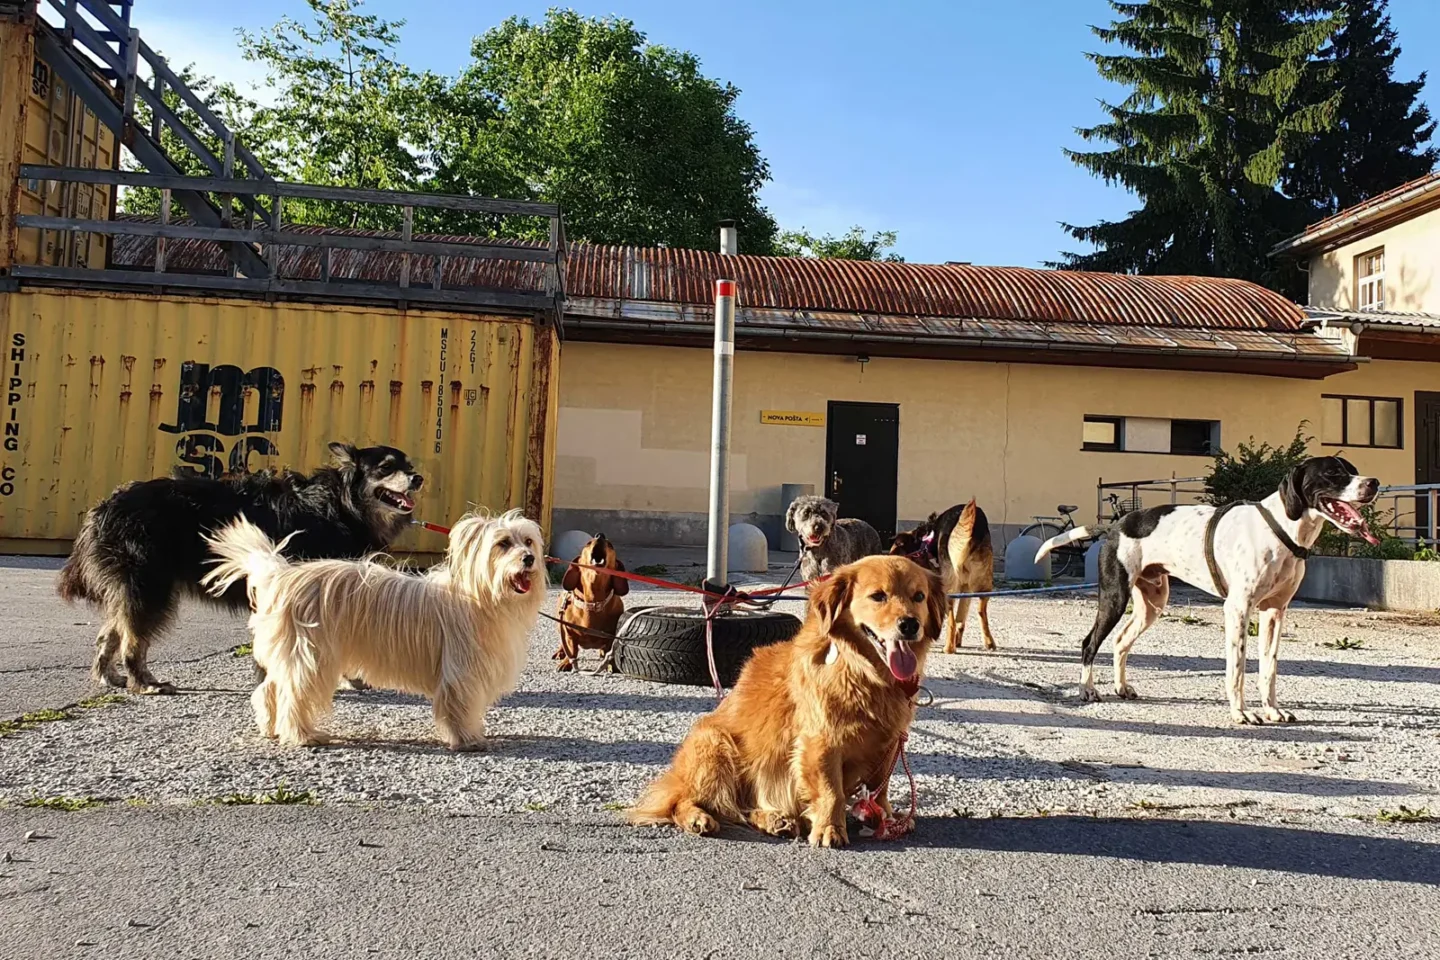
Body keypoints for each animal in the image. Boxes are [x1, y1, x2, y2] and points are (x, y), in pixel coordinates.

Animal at [59, 443, 423, 690]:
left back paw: (111, 676)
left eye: (409, 464)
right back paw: (145, 681)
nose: (418, 478)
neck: (343, 506)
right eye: (386, 467)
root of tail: (104, 508)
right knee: (133, 640)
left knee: (112, 632)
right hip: (150, 586)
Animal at [887, 503, 990, 653]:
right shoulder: (966, 587)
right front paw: (958, 640)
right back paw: (989, 643)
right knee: (981, 611)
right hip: (983, 582)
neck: (923, 542)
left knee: (952, 619)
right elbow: (962, 616)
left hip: (949, 587)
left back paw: (949, 648)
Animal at [1036, 457, 1382, 719]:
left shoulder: (1275, 613)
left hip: (1152, 605)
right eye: (1333, 473)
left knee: (1121, 641)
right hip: (1114, 598)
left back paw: (1121, 687)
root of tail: (1115, 526)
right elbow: (1238, 668)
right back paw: (1087, 689)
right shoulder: (1238, 609)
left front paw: (1272, 710)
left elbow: (1269, 669)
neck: (1281, 528)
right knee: (1089, 643)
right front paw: (1241, 713)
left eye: (1353, 468)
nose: (1374, 482)